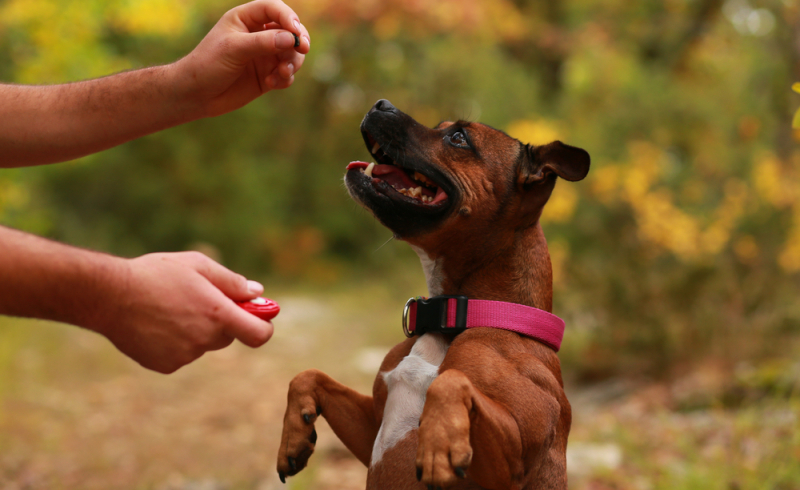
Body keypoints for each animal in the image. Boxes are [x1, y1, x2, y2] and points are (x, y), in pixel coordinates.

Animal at [278, 100, 592, 490]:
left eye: (458, 137)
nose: (382, 104)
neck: (455, 315)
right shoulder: (370, 426)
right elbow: (309, 375)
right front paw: (294, 433)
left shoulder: (514, 459)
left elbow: (450, 380)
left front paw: (438, 442)